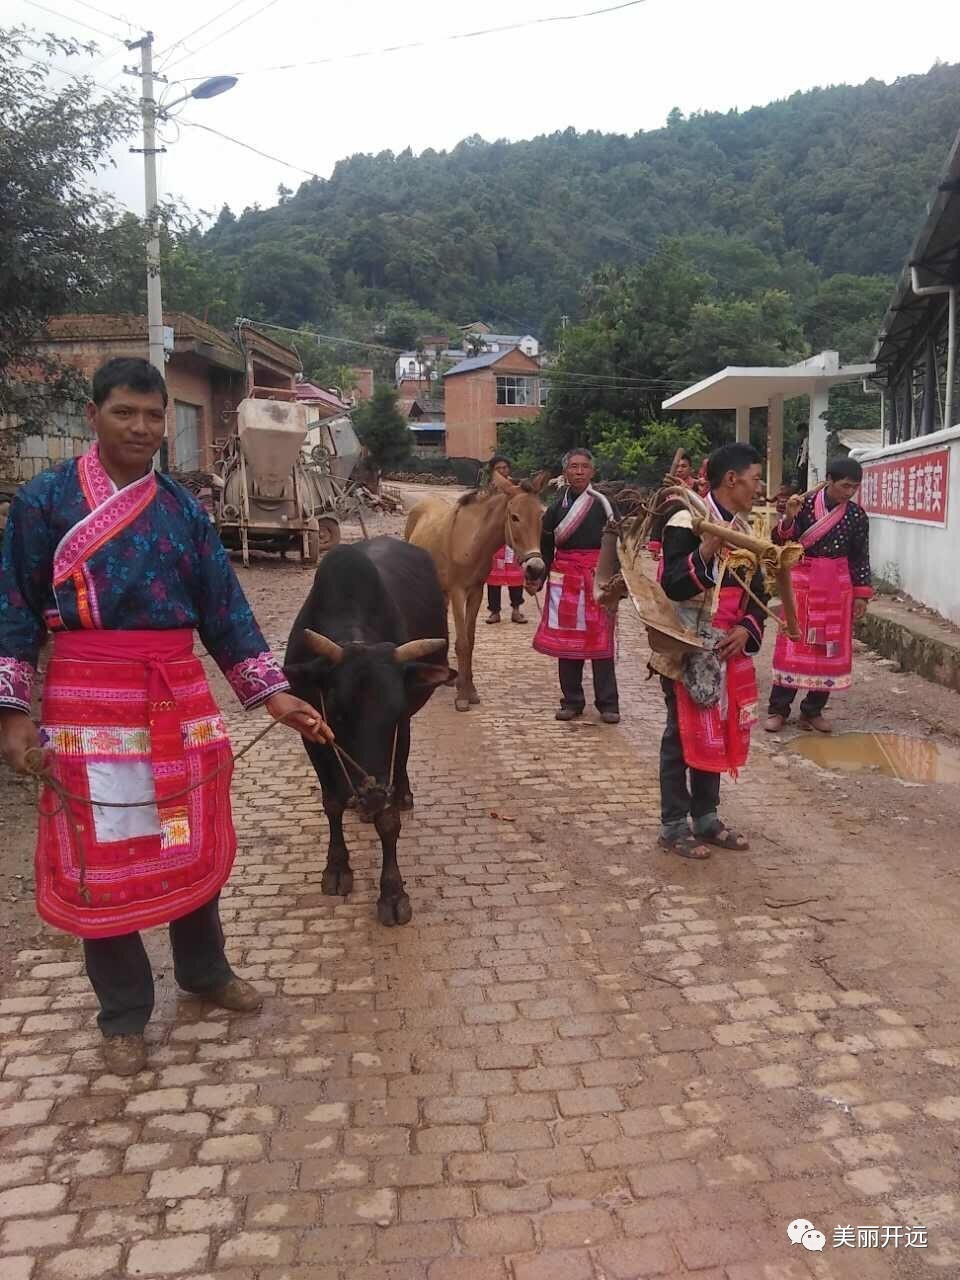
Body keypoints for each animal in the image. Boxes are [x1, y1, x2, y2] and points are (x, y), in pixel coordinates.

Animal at [401, 471, 545, 711]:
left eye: (541, 516)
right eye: (514, 517)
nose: (536, 569)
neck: (472, 542)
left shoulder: (476, 592)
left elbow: (470, 639)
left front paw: (469, 689)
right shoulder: (458, 592)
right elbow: (462, 643)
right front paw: (462, 697)